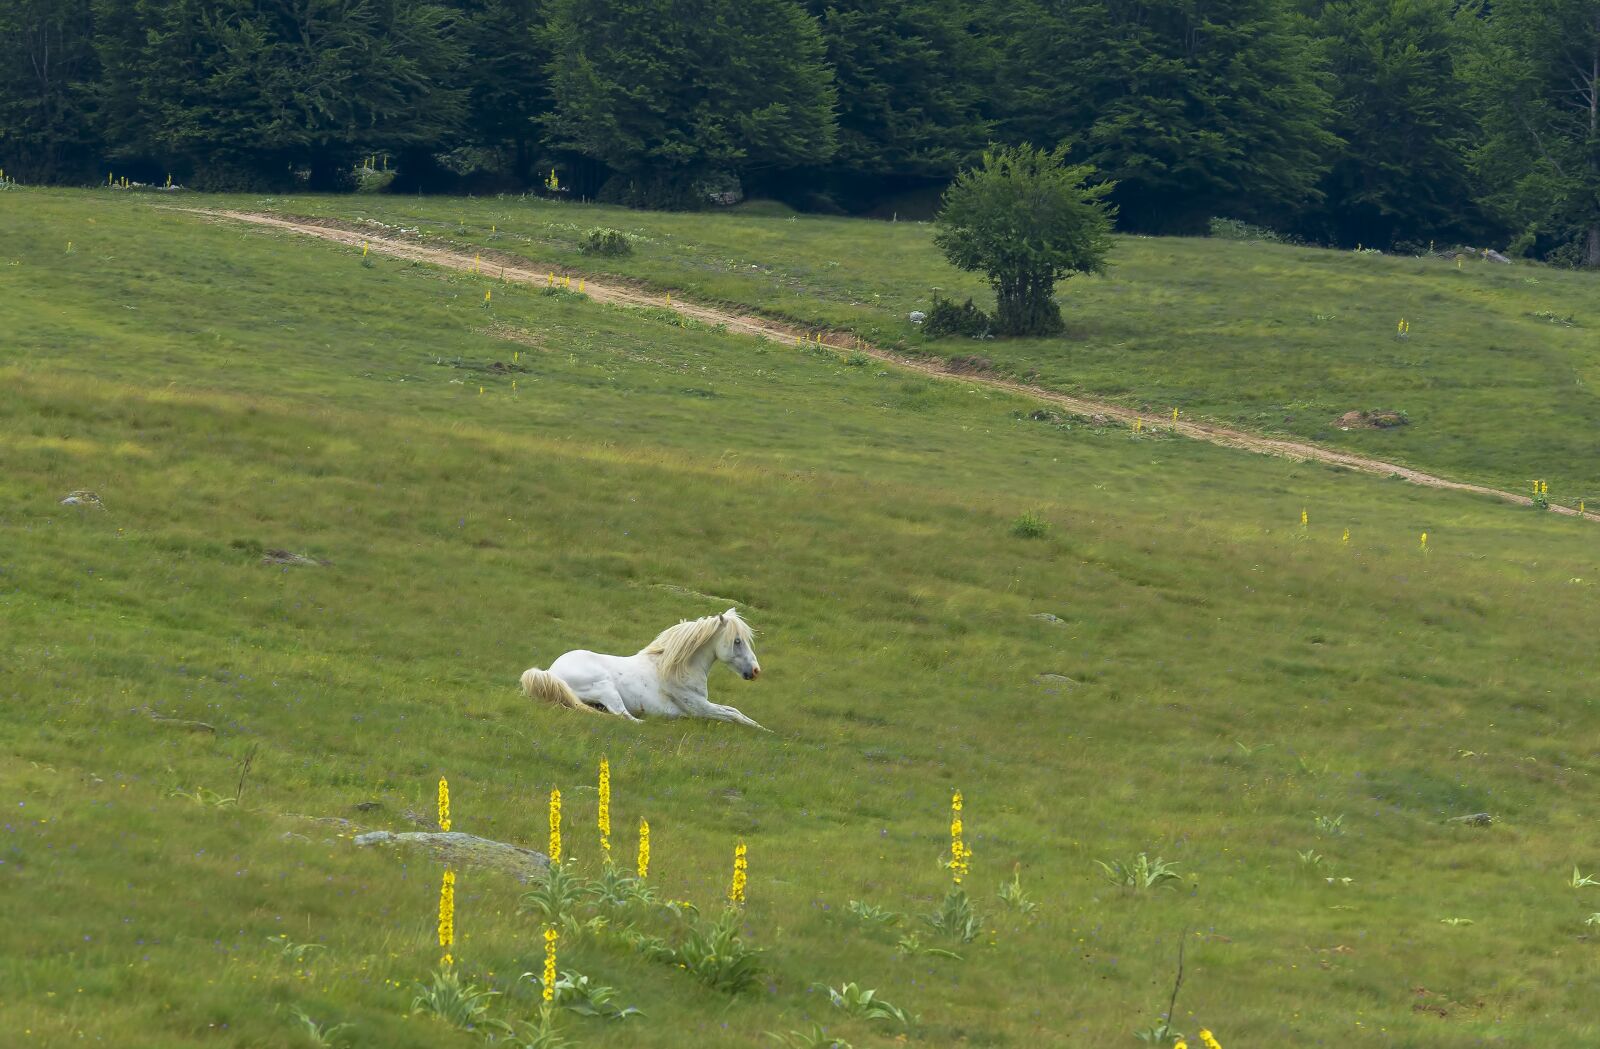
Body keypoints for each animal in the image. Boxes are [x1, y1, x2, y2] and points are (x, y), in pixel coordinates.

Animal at [519, 609, 766, 729]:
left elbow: (735, 712)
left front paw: (763, 728)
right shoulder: (700, 708)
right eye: (737, 641)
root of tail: (550, 673)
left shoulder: (705, 704)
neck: (676, 669)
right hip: (605, 687)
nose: (756, 671)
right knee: (624, 717)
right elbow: (732, 716)